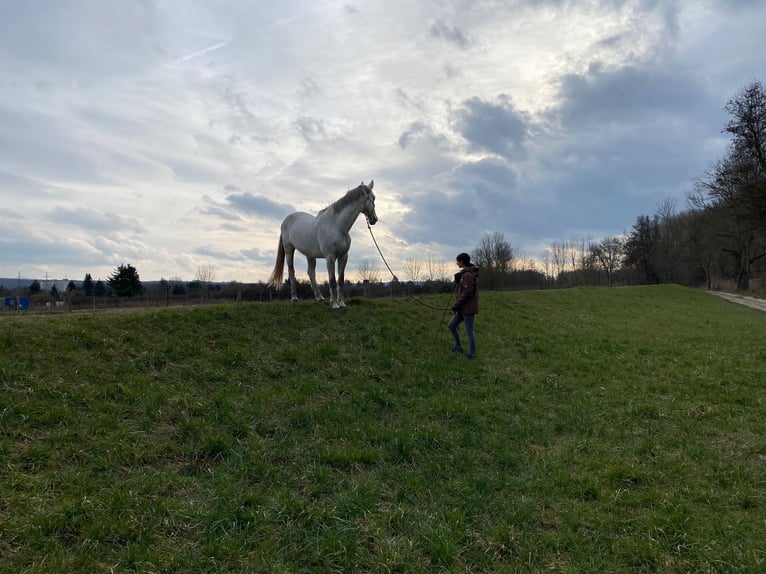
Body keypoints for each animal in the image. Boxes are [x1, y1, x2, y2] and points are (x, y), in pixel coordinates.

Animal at [268, 181, 380, 310]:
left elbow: (340, 280)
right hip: (289, 249)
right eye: (373, 198)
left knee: (311, 273)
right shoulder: (330, 257)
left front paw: (341, 303)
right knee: (291, 271)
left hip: (310, 255)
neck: (336, 227)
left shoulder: (343, 256)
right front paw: (335, 305)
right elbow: (332, 281)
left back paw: (319, 297)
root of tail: (286, 220)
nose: (375, 219)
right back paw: (294, 298)